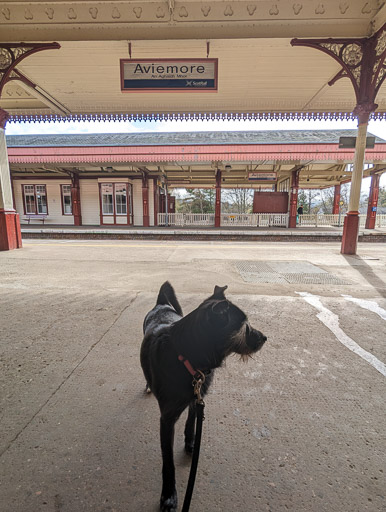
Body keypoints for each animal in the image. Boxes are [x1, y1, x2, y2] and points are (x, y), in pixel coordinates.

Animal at [140, 282, 266, 510]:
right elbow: (168, 462)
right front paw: (168, 496)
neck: (187, 357)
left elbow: (192, 422)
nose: (265, 338)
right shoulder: (167, 419)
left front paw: (191, 444)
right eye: (243, 325)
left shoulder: (197, 397)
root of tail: (161, 303)